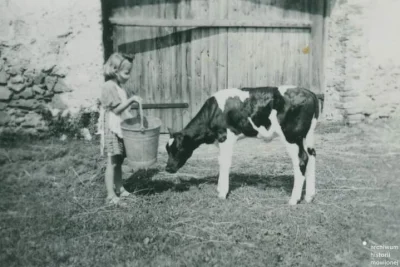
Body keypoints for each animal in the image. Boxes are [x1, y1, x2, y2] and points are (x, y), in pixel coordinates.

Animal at [165, 86, 318, 205]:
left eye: (177, 148)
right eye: (167, 149)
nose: (167, 168)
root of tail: (311, 93)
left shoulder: (225, 136)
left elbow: (225, 163)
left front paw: (222, 193)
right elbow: (220, 161)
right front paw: (219, 189)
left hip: (291, 136)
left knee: (301, 160)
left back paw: (293, 200)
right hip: (307, 136)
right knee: (311, 157)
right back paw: (309, 196)